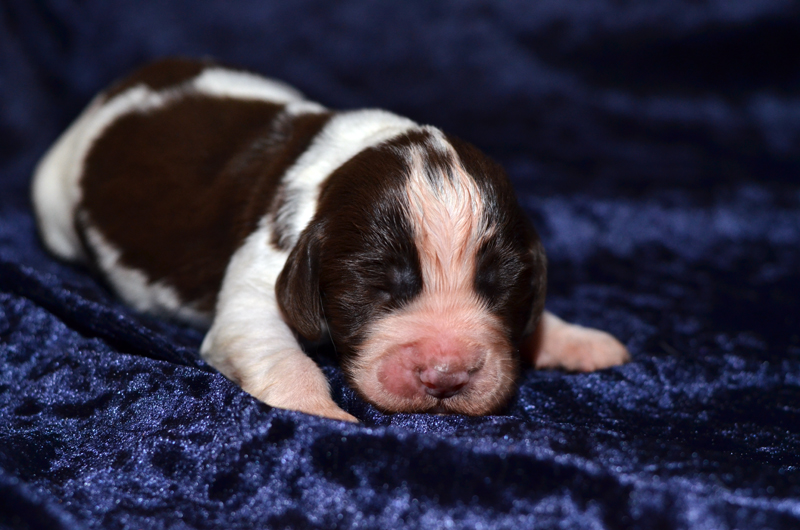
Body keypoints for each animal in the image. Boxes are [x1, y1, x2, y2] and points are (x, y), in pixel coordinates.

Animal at [32, 57, 632, 420]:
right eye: (377, 284)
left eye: (500, 285)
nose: (446, 377)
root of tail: (116, 90)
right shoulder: (261, 276)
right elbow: (279, 353)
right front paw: (324, 415)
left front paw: (574, 339)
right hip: (53, 204)